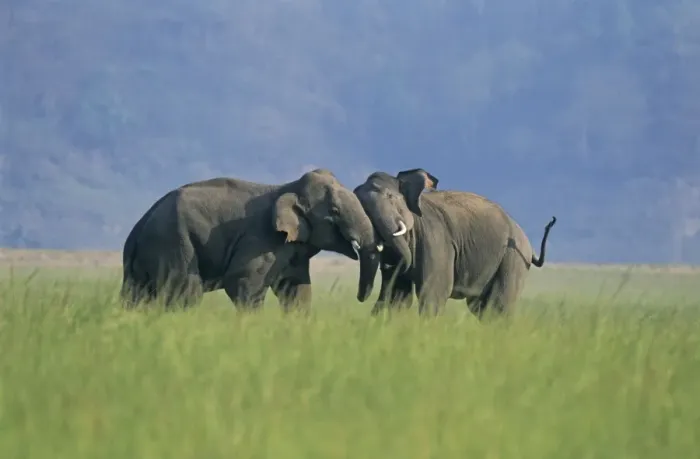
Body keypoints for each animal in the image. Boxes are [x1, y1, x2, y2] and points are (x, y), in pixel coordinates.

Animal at [120, 168, 383, 311]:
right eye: (335, 211)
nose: (360, 299)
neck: (288, 187)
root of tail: (138, 230)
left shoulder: (291, 249)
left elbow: (296, 288)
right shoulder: (262, 240)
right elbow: (243, 282)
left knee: (136, 296)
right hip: (174, 243)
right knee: (186, 293)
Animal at [353, 168, 556, 318]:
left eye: (390, 197)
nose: (360, 297)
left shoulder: (435, 238)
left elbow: (433, 294)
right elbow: (397, 297)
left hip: (513, 259)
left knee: (499, 306)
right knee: (481, 309)